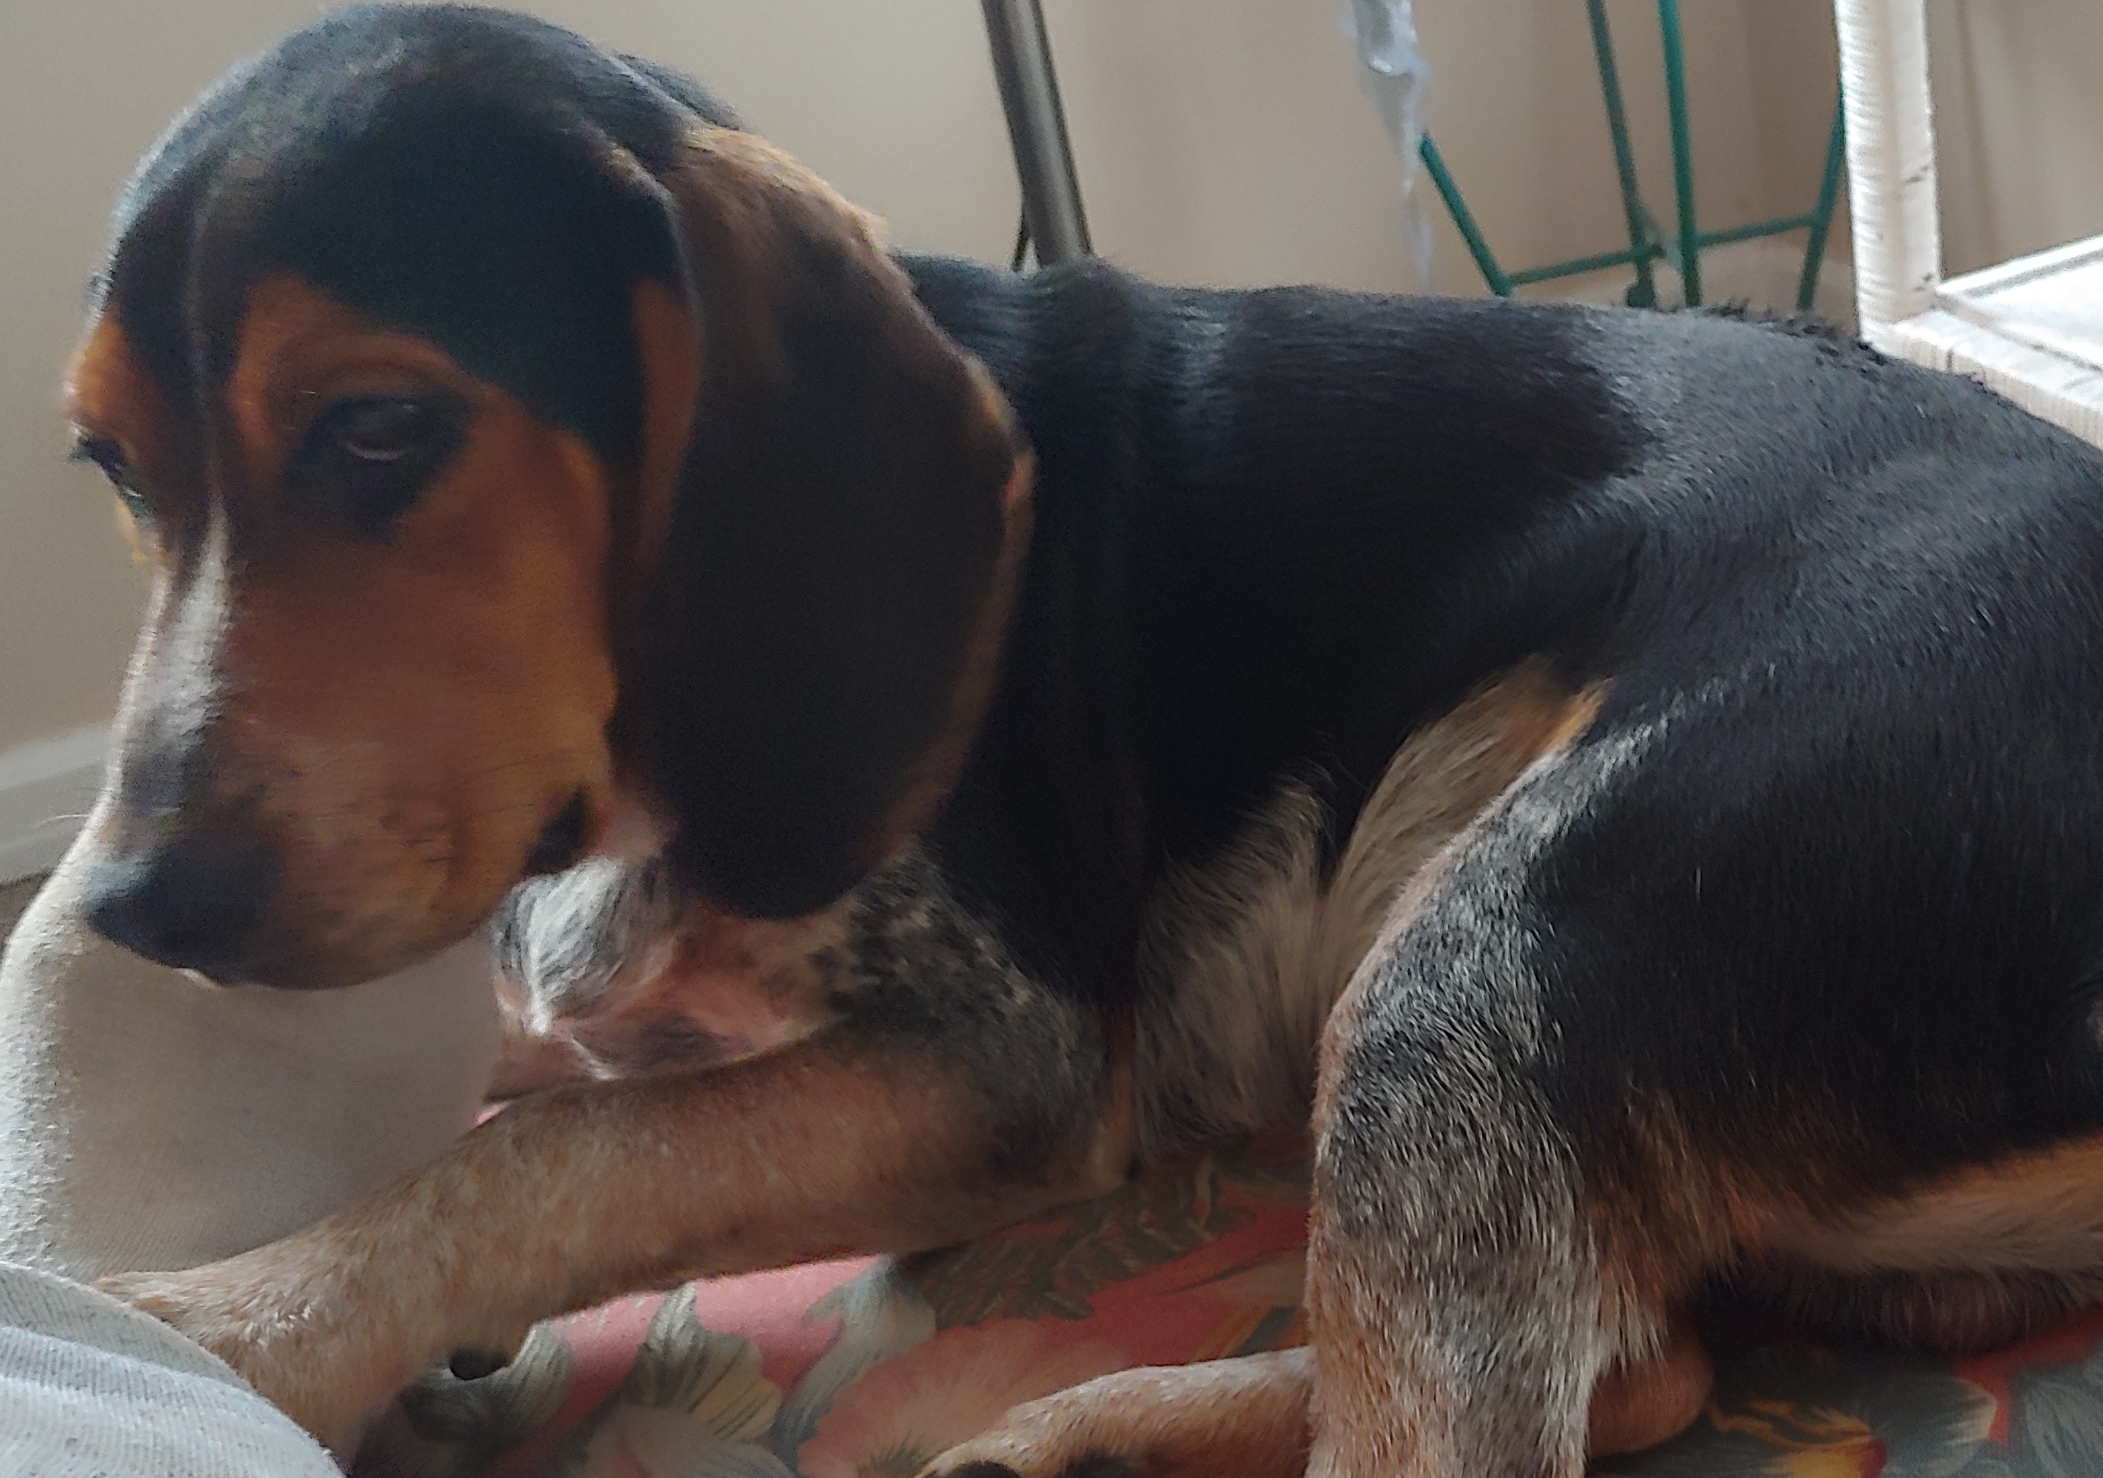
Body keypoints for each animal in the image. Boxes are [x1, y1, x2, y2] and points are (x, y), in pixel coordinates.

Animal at [61, 5, 2103, 1471]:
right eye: (109, 466)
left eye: (381, 428)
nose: (128, 910)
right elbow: (530, 1087)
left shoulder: (997, 1060)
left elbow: (539, 1154)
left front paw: (223, 1326)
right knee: (1647, 1366)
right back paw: (1094, 1433)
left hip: (1461, 955)